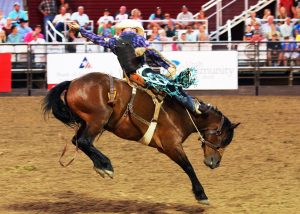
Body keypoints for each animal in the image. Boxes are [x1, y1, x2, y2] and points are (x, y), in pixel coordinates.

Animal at [42, 72, 239, 204]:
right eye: (223, 138)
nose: (215, 162)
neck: (183, 113)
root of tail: (73, 82)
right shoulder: (171, 146)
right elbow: (188, 167)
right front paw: (201, 195)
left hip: (88, 123)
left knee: (78, 141)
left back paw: (101, 166)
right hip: (98, 120)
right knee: (83, 141)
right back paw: (106, 166)